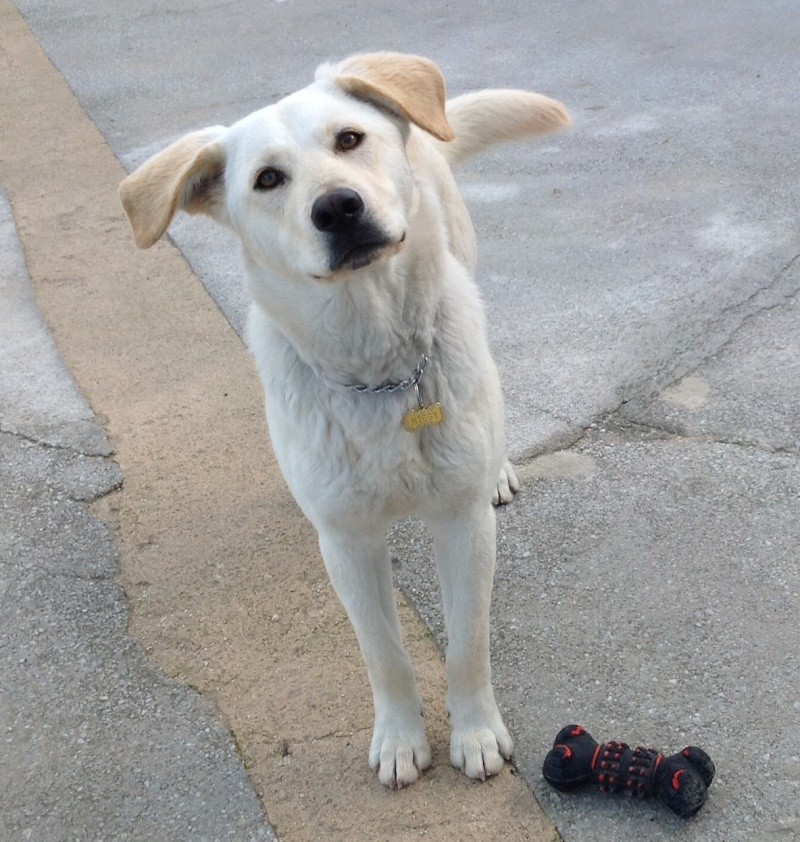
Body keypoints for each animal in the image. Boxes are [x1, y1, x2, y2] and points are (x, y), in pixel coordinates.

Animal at [119, 54, 568, 788]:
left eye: (349, 139)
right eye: (267, 180)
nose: (337, 207)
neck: (376, 366)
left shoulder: (462, 523)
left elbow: (466, 644)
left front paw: (474, 732)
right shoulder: (348, 542)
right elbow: (383, 653)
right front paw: (400, 738)